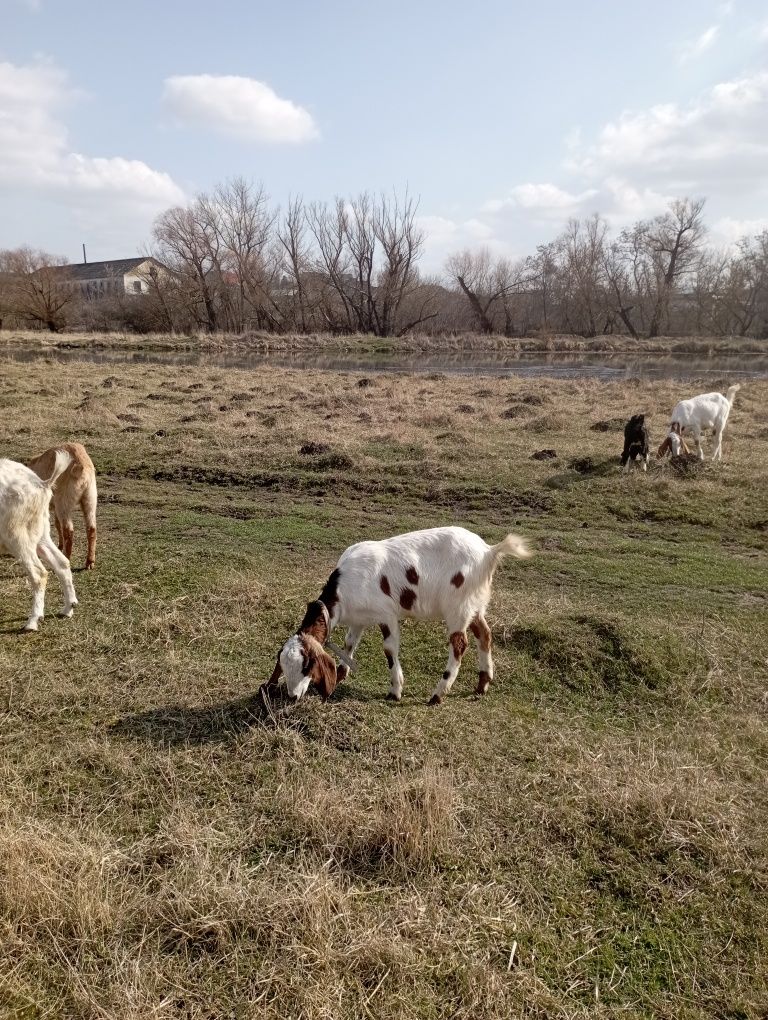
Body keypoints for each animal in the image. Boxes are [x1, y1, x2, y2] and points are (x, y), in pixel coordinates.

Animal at [0, 452, 78, 628]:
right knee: (62, 563)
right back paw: (68, 608)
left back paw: (33, 621)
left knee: (39, 573)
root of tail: (42, 484)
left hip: (16, 535)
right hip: (40, 533)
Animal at [27, 440, 97, 571]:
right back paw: (90, 562)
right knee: (91, 528)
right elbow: (57, 524)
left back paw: (66, 559)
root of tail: (80, 464)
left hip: (64, 502)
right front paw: (59, 545)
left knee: (68, 530)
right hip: (90, 499)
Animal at [261, 530, 530, 705]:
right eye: (283, 664)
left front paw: (395, 691)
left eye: (306, 665)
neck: (343, 588)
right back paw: (482, 684)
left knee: (459, 645)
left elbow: (389, 650)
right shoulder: (358, 619)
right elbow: (349, 644)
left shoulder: (386, 615)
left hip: (458, 607)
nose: (292, 696)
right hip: (475, 604)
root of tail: (488, 553)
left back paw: (438, 694)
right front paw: (341, 674)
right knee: (484, 634)